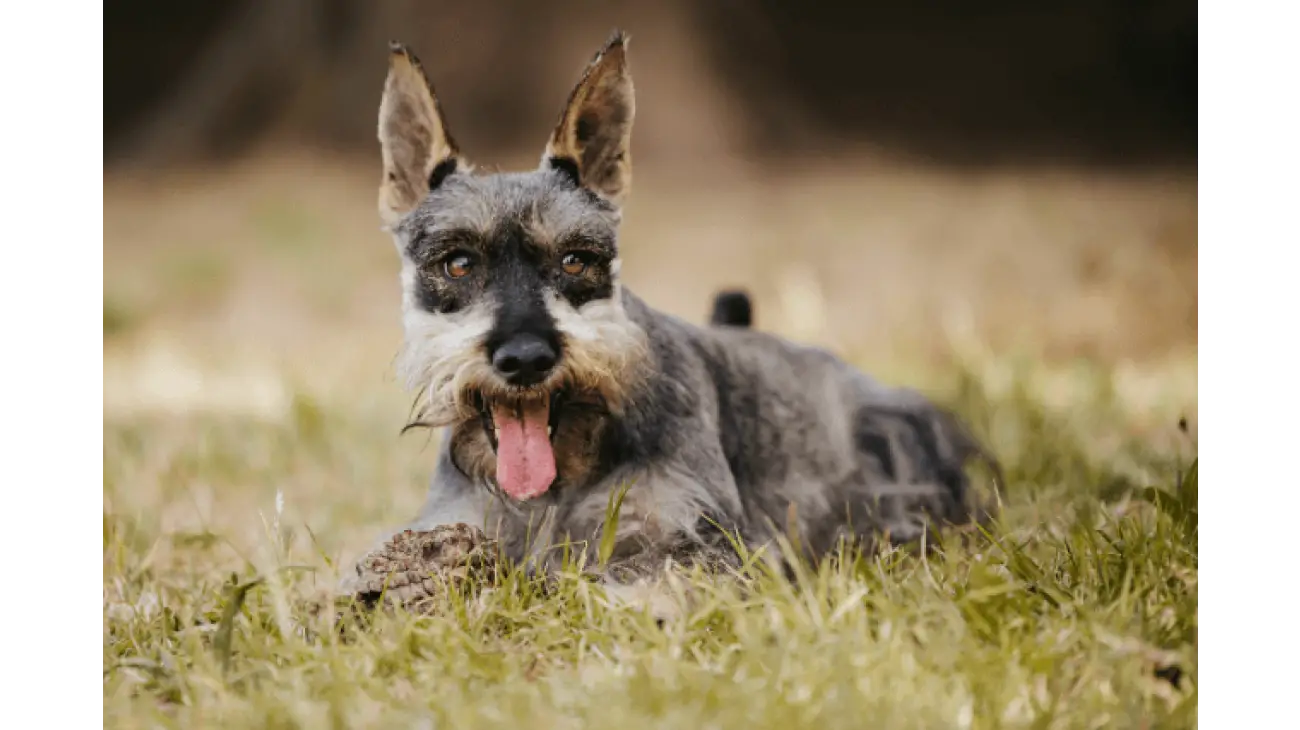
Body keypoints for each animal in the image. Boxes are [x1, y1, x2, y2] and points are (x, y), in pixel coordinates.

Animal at [340, 31, 998, 594]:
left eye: (576, 259)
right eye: (457, 263)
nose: (525, 358)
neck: (559, 482)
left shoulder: (697, 536)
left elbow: (629, 576)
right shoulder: (457, 518)